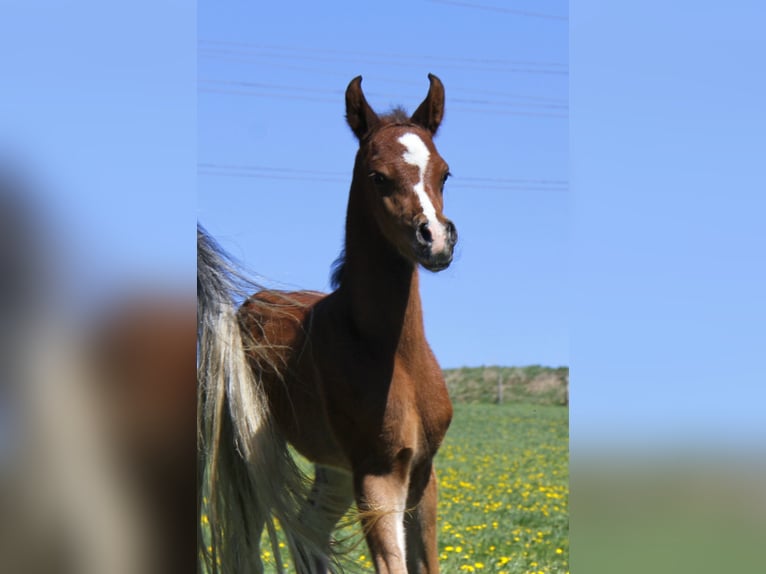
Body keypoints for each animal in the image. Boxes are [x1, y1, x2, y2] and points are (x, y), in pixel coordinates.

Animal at [198, 73, 458, 574]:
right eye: (378, 175)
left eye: (444, 172)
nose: (435, 240)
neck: (391, 352)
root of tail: (245, 307)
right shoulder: (378, 476)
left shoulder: (423, 473)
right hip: (253, 459)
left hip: (333, 469)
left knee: (309, 531)